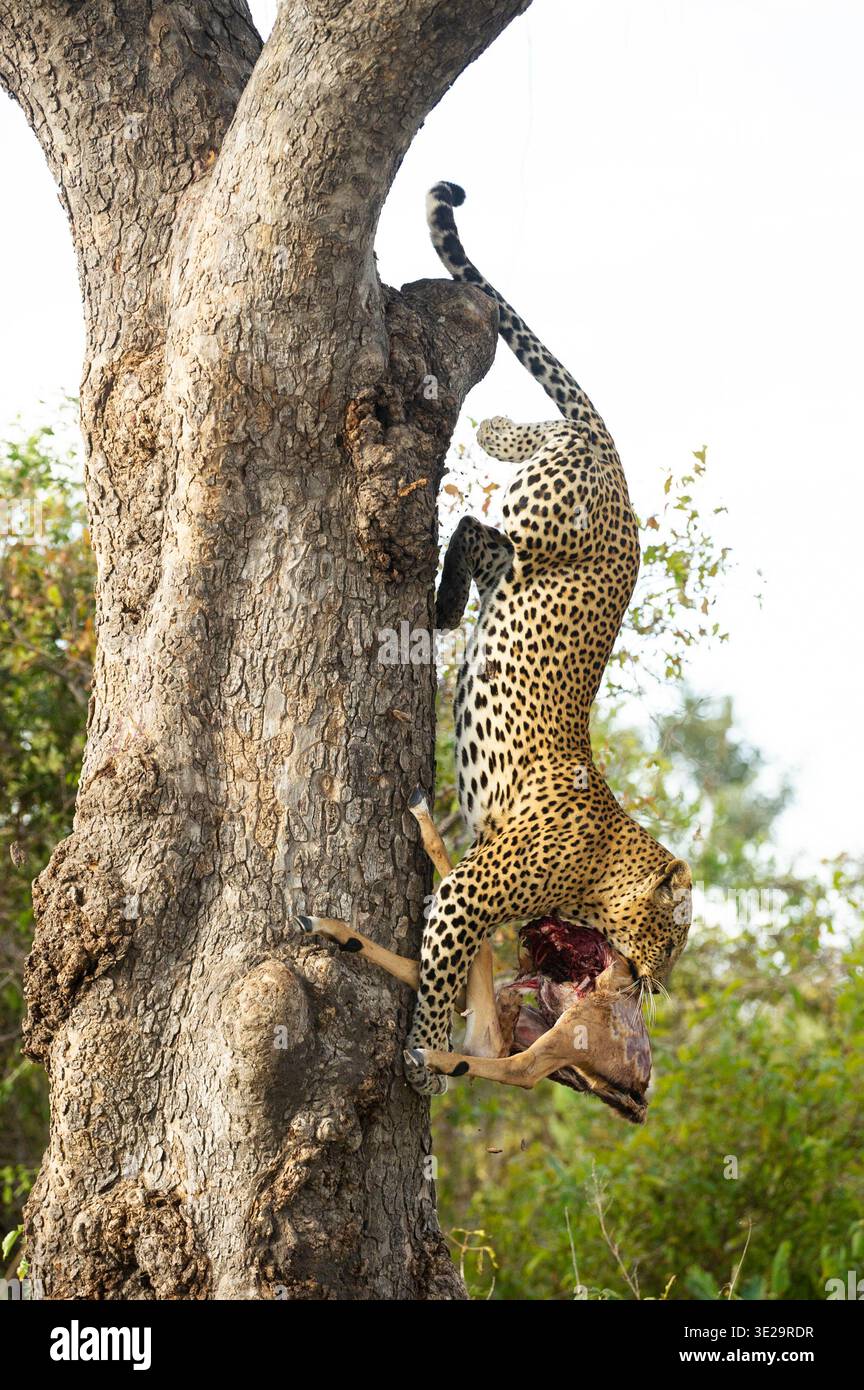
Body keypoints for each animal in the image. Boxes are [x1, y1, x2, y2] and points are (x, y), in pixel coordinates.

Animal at [400, 182, 693, 1095]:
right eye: (674, 936)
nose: (657, 983)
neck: (604, 865)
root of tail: (621, 466)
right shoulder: (468, 896)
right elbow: (443, 977)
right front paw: (423, 1059)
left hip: (532, 536)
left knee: (513, 474)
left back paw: (491, 428)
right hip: (548, 524)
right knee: (472, 518)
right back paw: (444, 603)